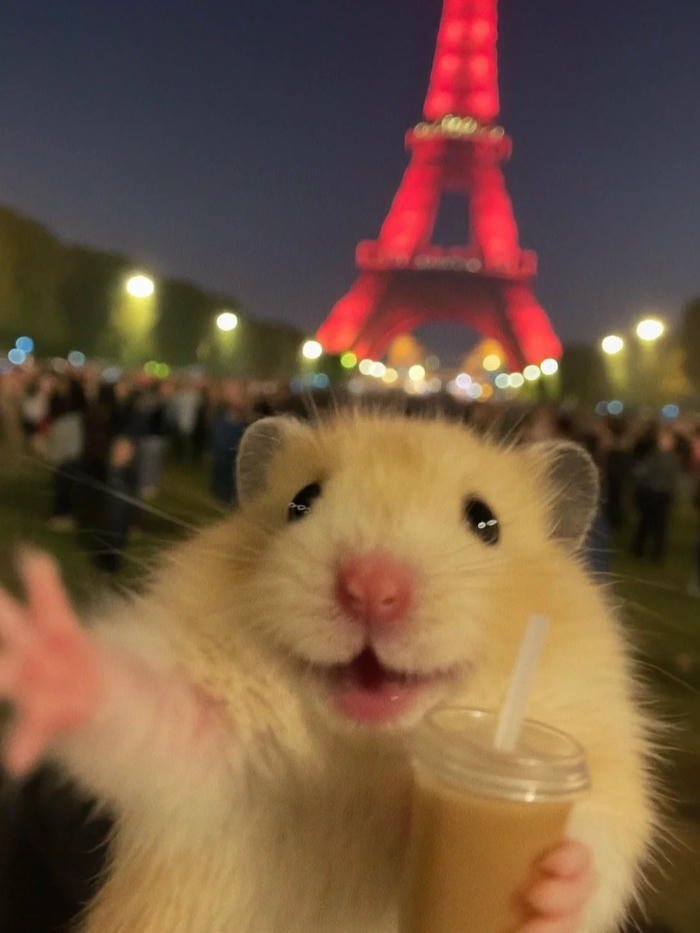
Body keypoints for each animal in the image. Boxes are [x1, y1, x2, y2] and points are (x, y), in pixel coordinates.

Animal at [0, 409, 658, 932]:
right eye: (302, 501)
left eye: (485, 522)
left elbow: (596, 860)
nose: (371, 588)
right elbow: (138, 704)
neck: (366, 756)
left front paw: (555, 883)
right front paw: (42, 655)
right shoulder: (199, 747)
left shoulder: (604, 776)